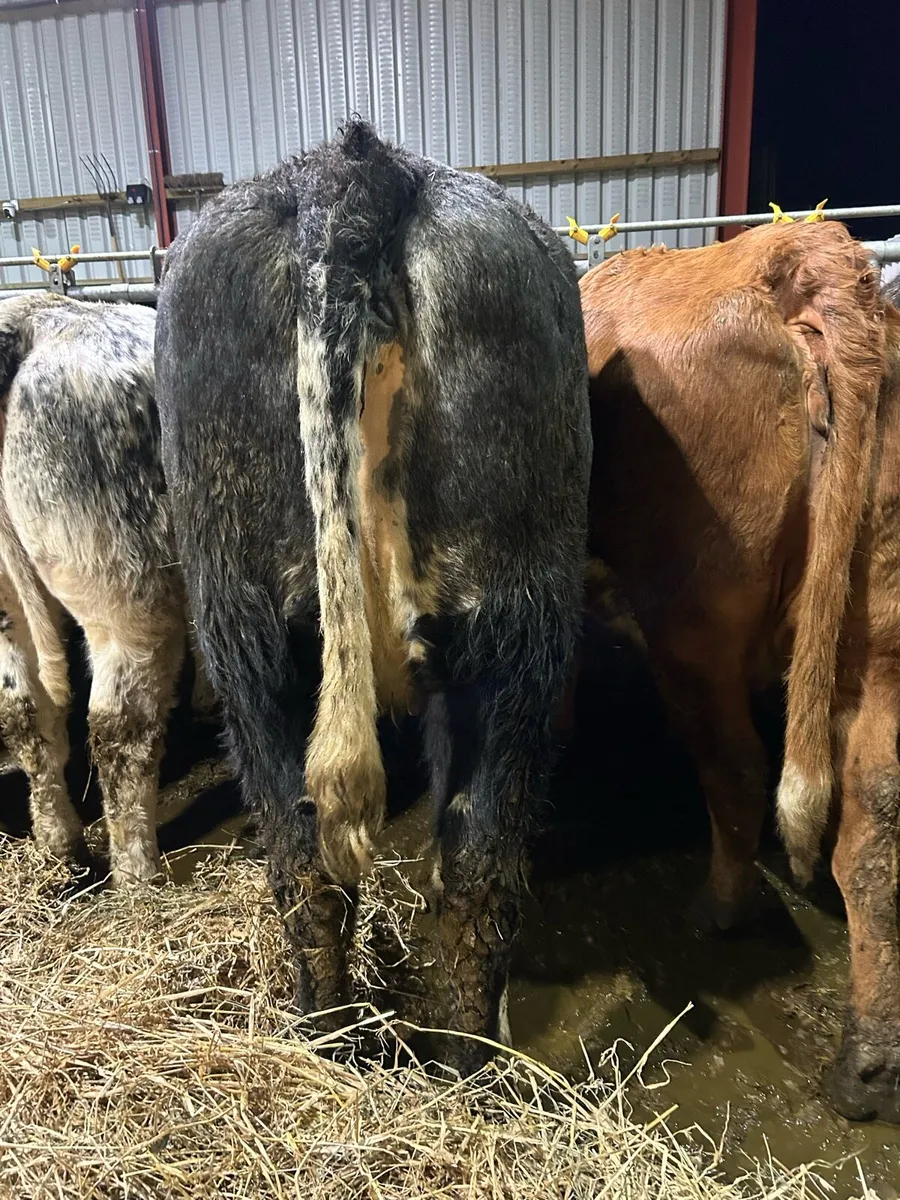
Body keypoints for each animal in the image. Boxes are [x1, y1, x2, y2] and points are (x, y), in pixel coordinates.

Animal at [154, 119, 591, 1067]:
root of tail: (351, 174)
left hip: (249, 628)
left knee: (306, 857)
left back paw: (327, 1041)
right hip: (515, 628)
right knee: (479, 861)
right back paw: (470, 1067)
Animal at [580, 221, 897, 1121]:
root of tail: (797, 256)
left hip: (692, 623)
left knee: (737, 767)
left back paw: (719, 906)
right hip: (882, 632)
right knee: (874, 829)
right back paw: (867, 1065)